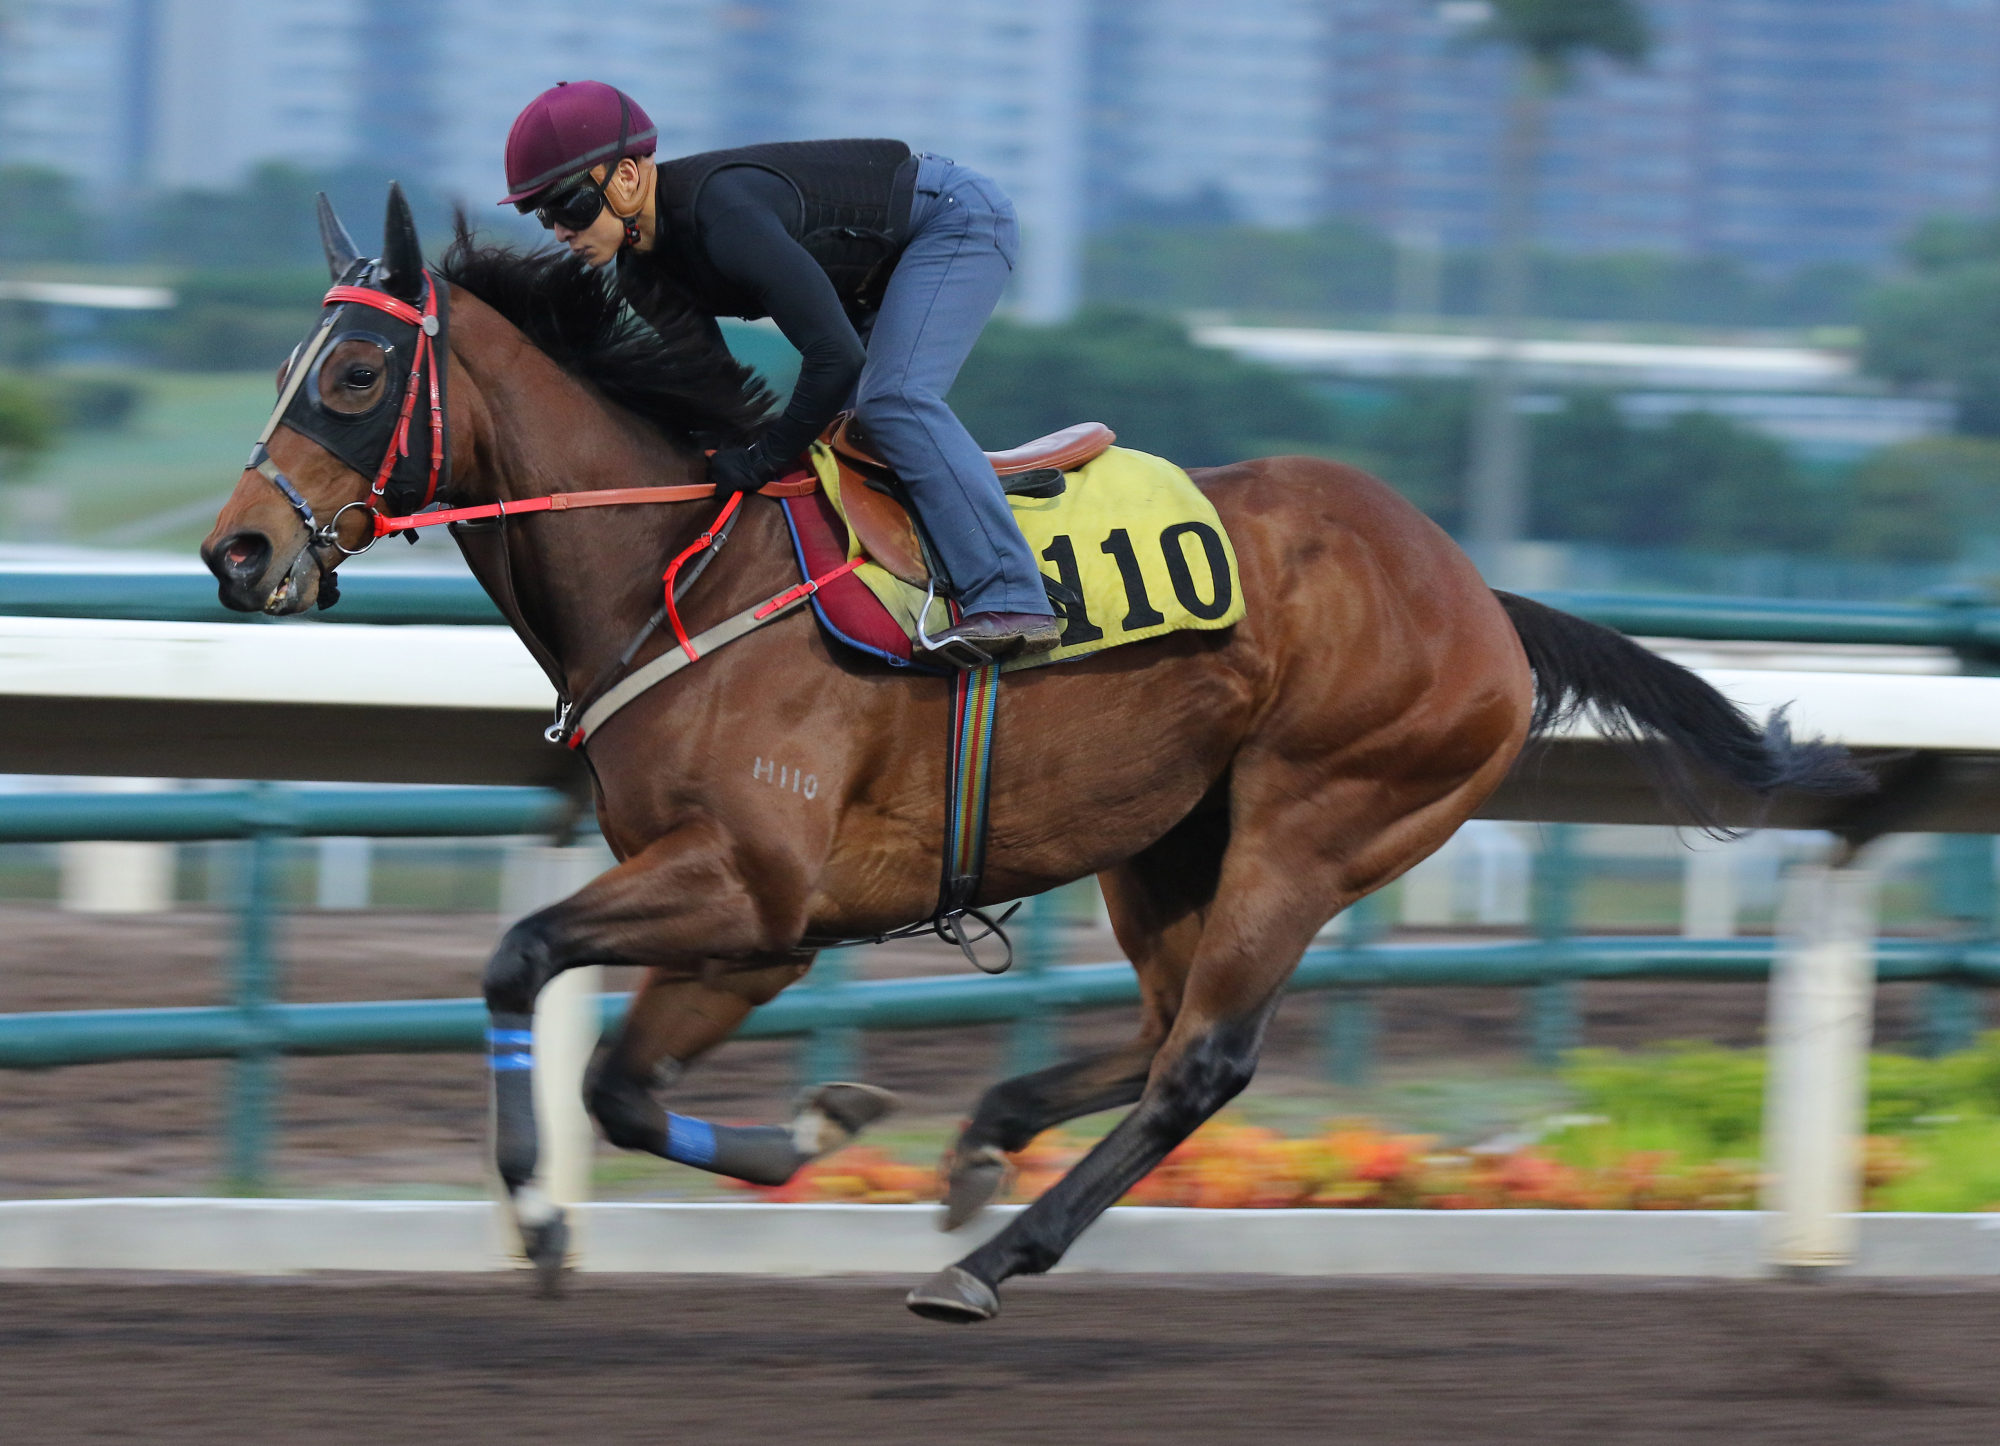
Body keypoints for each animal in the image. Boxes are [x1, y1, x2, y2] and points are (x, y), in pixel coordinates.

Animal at [199, 189, 1856, 1320]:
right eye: (285, 364)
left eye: (355, 376)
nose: (237, 549)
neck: (687, 563)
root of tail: (1479, 600)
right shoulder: (756, 928)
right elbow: (610, 1077)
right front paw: (811, 1129)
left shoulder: (748, 885)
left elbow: (519, 958)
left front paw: (542, 1215)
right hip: (1168, 839)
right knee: (1161, 1029)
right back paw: (984, 1142)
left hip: (1317, 818)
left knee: (1204, 1059)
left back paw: (998, 1255)